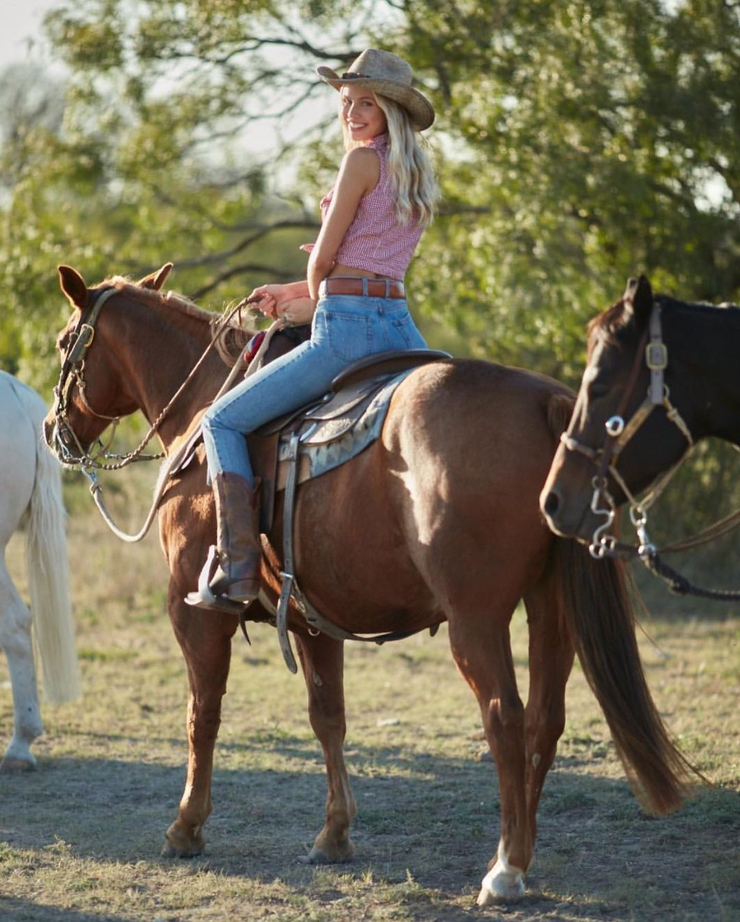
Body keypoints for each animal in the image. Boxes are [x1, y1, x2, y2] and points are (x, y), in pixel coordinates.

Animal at [44, 262, 692, 904]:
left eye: (64, 341)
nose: (55, 430)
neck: (204, 407)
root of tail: (547, 401)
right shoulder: (311, 620)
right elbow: (327, 717)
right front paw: (334, 835)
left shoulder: (196, 613)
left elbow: (201, 714)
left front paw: (186, 828)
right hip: (549, 606)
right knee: (543, 720)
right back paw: (519, 852)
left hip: (476, 620)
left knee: (504, 717)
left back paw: (505, 869)